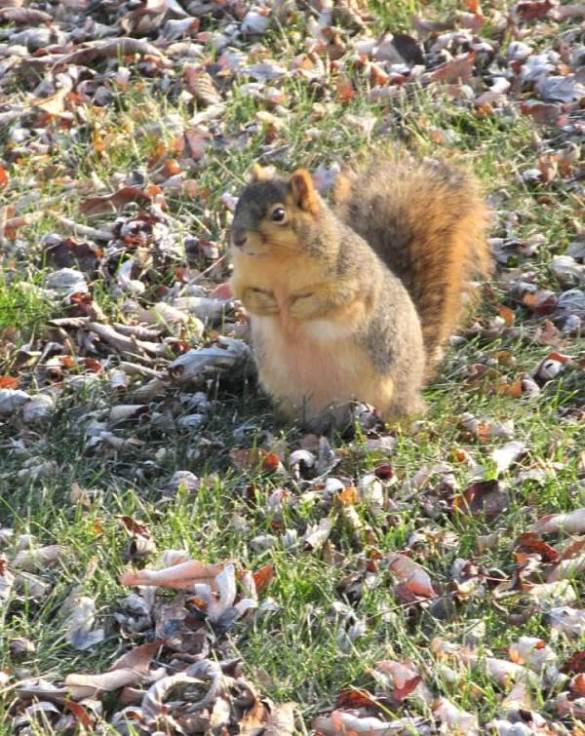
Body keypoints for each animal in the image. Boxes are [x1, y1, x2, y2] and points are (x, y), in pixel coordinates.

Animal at [229, 153, 492, 427]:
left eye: (278, 214)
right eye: (238, 206)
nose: (237, 239)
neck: (276, 261)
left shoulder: (353, 275)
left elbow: (338, 298)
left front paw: (298, 308)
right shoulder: (242, 275)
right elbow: (242, 292)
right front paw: (264, 304)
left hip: (389, 390)